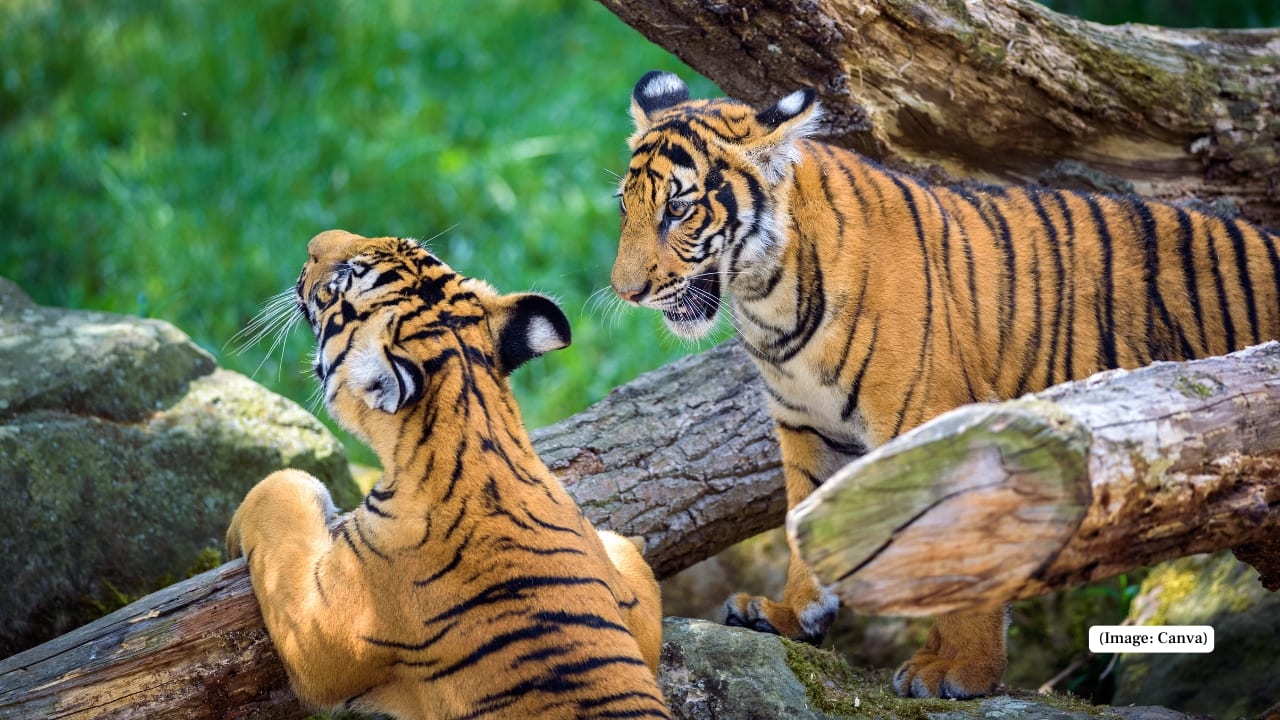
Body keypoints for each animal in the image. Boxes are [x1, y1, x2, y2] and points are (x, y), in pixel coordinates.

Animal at [226, 229, 669, 719]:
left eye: (343, 279)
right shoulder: (638, 617)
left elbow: (278, 496)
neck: (478, 423)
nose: (313, 243)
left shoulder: (314, 631)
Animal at [610, 70, 1280, 699]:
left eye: (678, 209)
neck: (767, 300)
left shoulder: (932, 425)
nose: (624, 292)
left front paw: (959, 671)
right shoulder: (808, 426)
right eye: (625, 206)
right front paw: (789, 615)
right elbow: (806, 518)